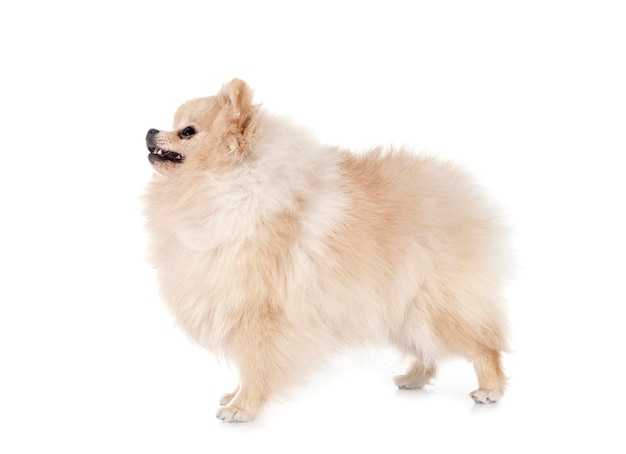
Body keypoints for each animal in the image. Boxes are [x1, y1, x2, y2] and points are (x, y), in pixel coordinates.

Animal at [144, 78, 510, 422]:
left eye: (187, 131)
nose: (150, 130)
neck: (222, 186)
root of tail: (462, 198)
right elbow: (250, 366)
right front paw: (235, 396)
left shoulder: (260, 313)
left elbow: (256, 365)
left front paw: (243, 407)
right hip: (402, 309)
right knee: (427, 349)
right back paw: (414, 378)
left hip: (434, 307)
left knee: (484, 345)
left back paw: (490, 389)